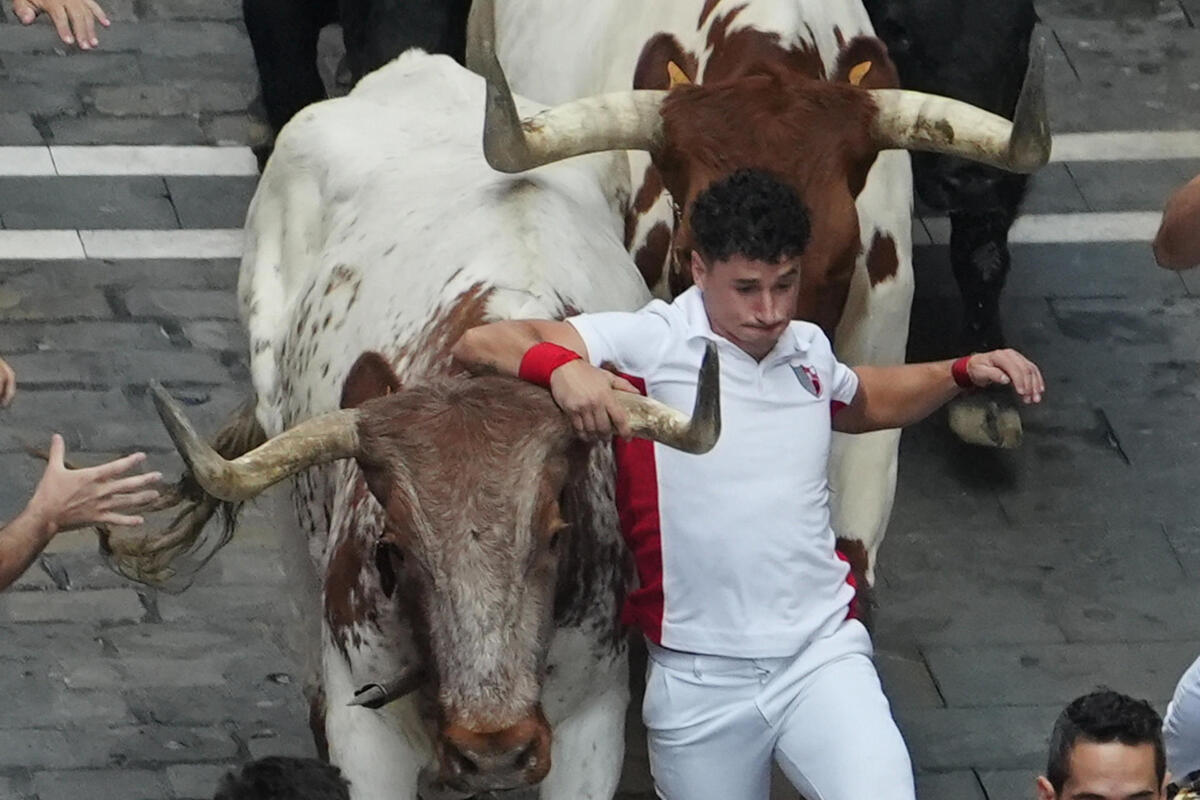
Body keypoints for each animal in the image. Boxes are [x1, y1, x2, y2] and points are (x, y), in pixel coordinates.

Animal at [147, 53, 720, 796]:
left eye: (556, 532)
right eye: (395, 547)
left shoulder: (594, 720)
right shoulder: (364, 728)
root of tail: (416, 63)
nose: (493, 749)